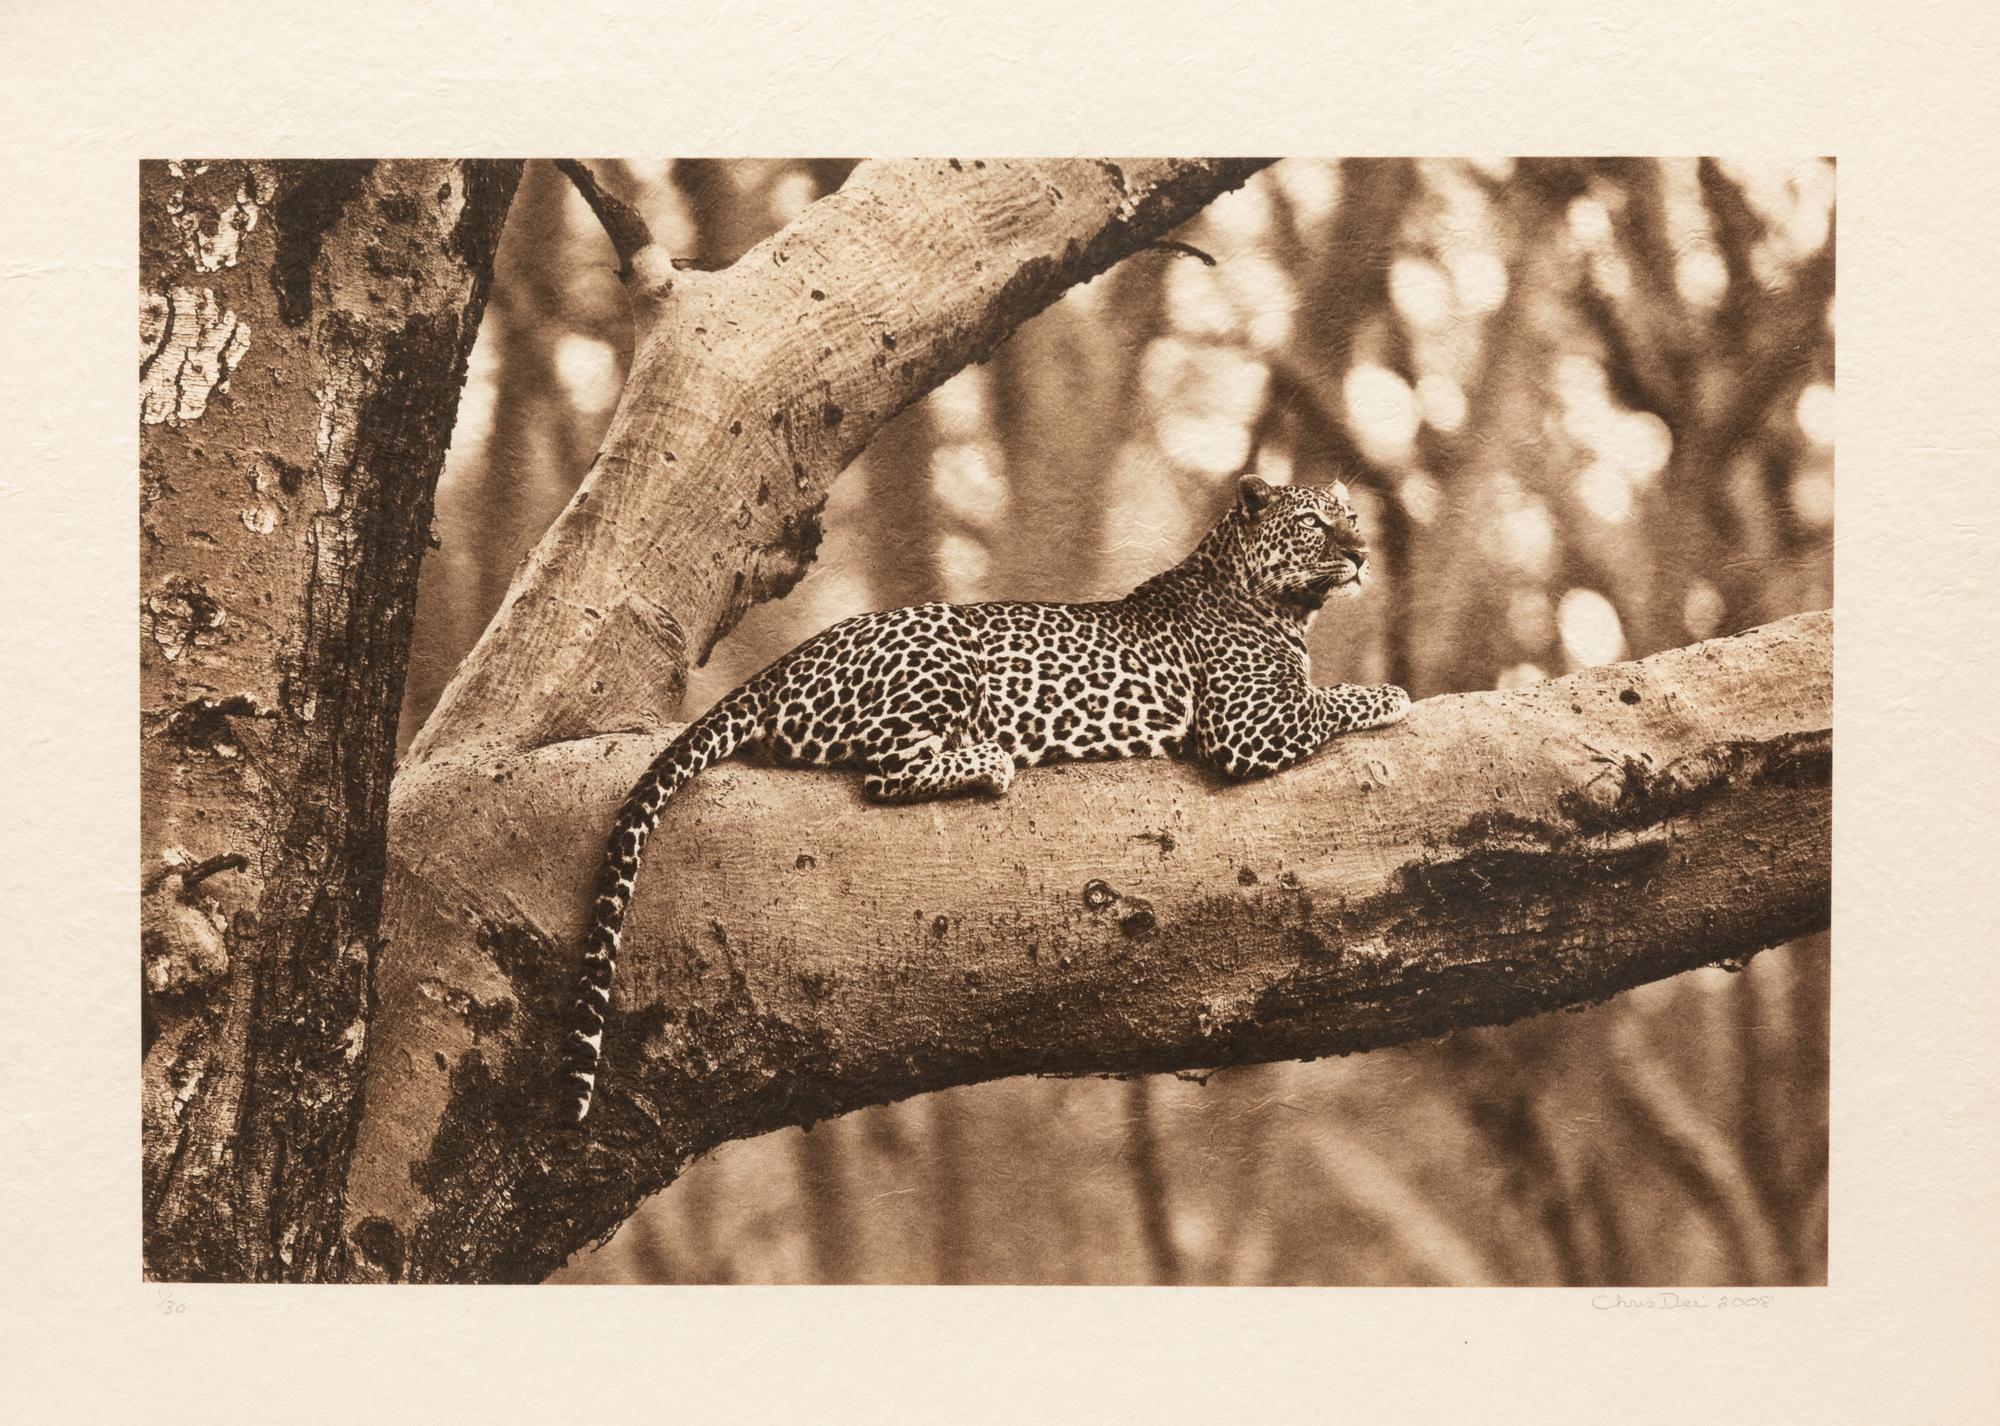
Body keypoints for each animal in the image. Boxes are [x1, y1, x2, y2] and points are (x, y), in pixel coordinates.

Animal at [561, 473, 1412, 1121]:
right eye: (1313, 523)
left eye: (1352, 518)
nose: (1363, 553)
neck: (1271, 602)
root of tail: (781, 667)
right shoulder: (1248, 725)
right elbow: (1333, 699)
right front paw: (1391, 694)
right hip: (943, 654)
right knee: (886, 773)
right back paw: (990, 760)